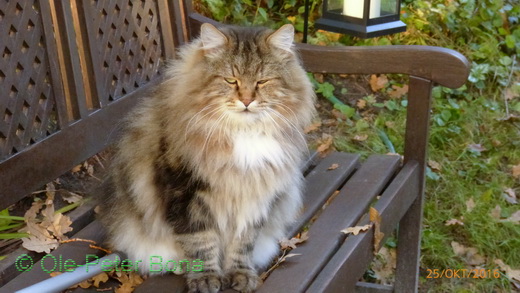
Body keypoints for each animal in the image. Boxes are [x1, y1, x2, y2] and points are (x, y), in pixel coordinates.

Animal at [98, 23, 314, 292]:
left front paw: (240, 274)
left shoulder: (253, 198)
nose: (246, 100)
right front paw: (206, 278)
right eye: (231, 80)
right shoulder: (186, 195)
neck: (243, 133)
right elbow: (201, 243)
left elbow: (243, 244)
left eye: (262, 81)